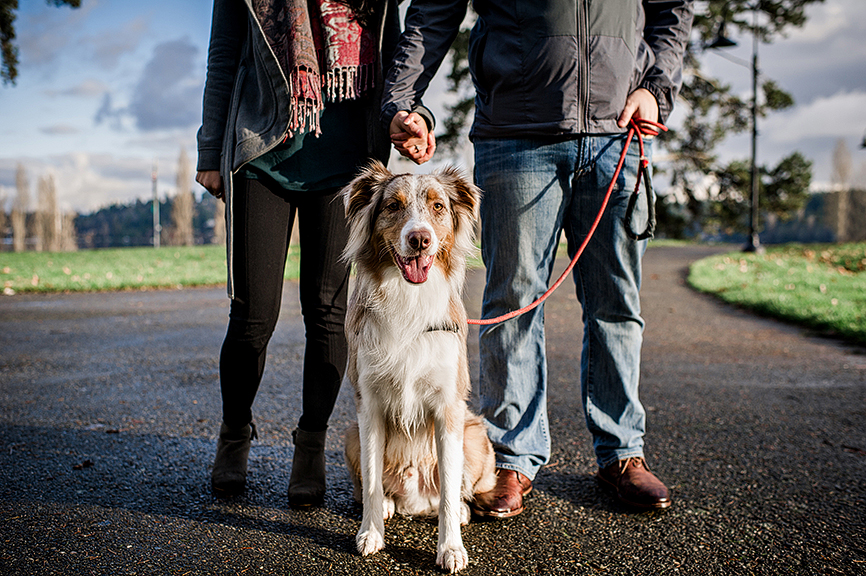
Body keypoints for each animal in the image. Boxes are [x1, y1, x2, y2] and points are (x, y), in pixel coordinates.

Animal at [340, 161, 496, 572]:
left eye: (438, 206)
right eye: (393, 206)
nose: (420, 239)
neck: (408, 299)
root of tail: (416, 500)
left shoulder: (448, 407)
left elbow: (449, 490)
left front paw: (451, 549)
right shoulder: (369, 407)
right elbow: (372, 479)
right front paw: (371, 533)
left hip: (475, 433)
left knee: (452, 491)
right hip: (349, 434)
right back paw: (390, 505)